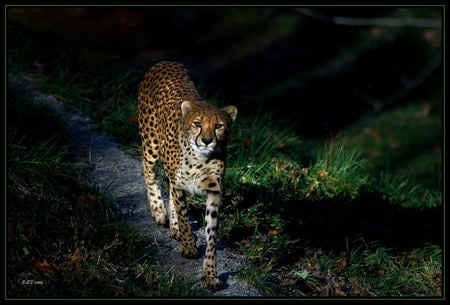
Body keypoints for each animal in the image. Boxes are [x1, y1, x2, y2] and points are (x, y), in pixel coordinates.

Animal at [137, 61, 237, 288]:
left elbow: (211, 236)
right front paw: (189, 246)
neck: (200, 159)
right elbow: (183, 215)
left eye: (219, 126)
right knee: (148, 169)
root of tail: (165, 62)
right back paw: (158, 210)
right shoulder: (180, 184)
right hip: (151, 144)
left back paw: (173, 227)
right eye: (197, 124)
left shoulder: (214, 192)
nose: (207, 141)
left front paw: (210, 274)